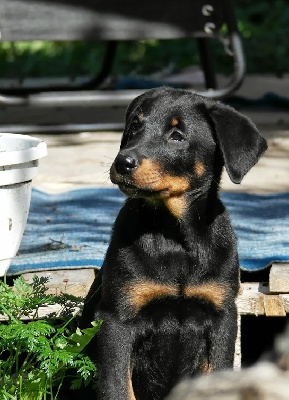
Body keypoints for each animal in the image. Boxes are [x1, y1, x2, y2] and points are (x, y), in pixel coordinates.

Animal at [80, 88, 266, 400]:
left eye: (177, 135)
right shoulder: (117, 320)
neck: (174, 237)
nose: (122, 162)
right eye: (135, 126)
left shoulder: (222, 317)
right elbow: (117, 387)